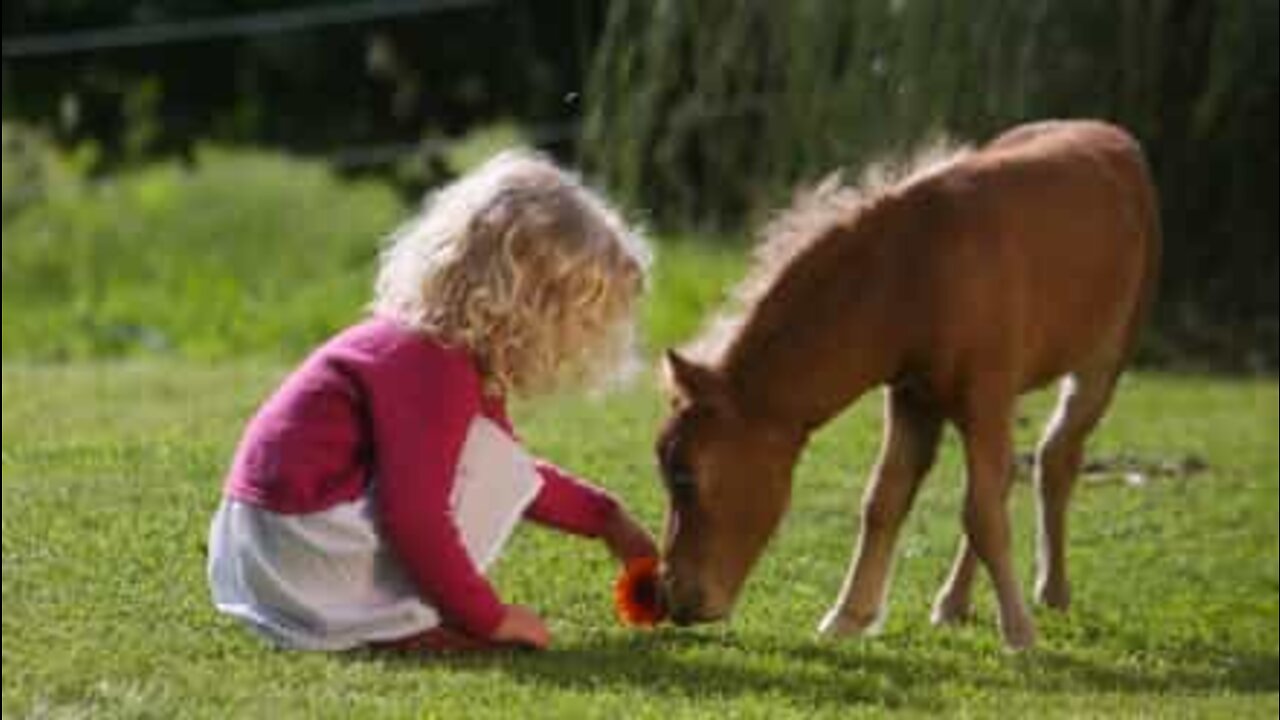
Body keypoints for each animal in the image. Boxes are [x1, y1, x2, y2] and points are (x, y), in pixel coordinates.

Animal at [655, 120, 1167, 648]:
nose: (672, 599)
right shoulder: (913, 399)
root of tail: (1115, 137)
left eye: (684, 476)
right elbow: (885, 500)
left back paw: (1052, 591)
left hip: (1101, 367)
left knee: (1054, 460)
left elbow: (981, 513)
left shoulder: (985, 397)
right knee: (1008, 478)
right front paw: (848, 616)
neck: (914, 275)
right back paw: (955, 603)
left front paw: (1019, 632)